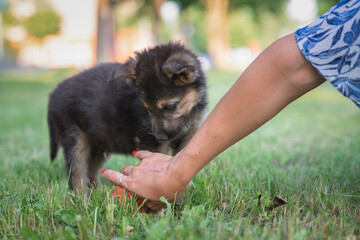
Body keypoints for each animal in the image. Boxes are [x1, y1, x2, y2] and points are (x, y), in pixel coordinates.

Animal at [47, 42, 208, 193]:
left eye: (170, 106)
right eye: (146, 108)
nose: (160, 137)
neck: (189, 113)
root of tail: (54, 93)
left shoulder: (187, 137)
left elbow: (182, 166)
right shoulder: (150, 142)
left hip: (99, 141)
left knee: (90, 172)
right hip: (75, 139)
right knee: (77, 175)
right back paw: (82, 199)